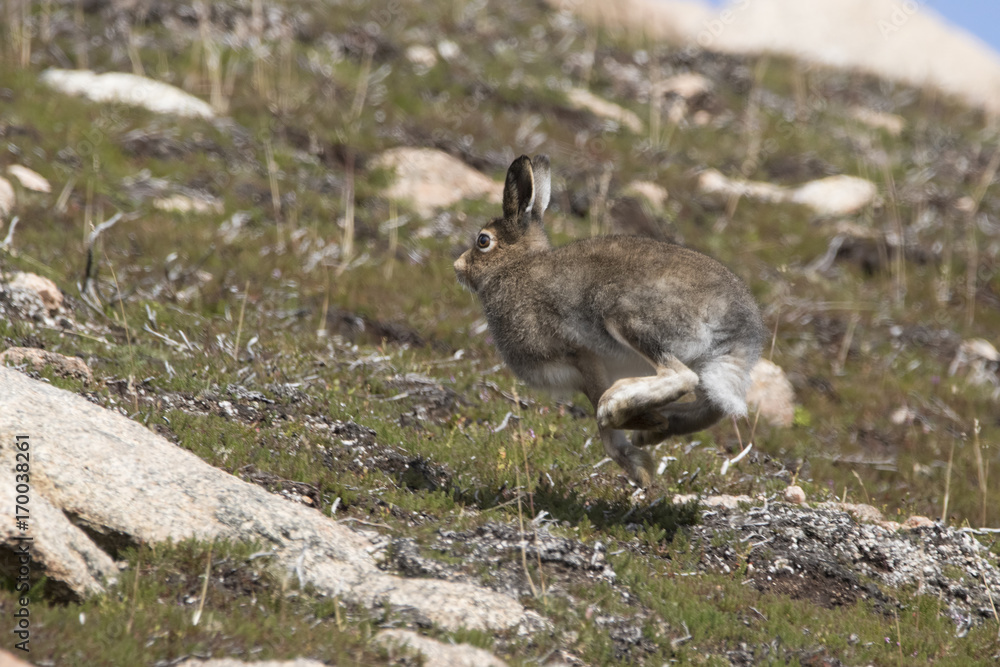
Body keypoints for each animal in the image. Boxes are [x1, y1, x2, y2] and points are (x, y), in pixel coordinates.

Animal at [454, 154, 766, 486]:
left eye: (483, 241)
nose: (457, 266)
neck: (513, 267)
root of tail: (737, 325)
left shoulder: (581, 355)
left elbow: (602, 426)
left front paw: (638, 466)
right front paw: (642, 450)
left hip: (625, 316)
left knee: (677, 376)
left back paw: (617, 405)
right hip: (707, 364)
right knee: (713, 407)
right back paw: (657, 427)